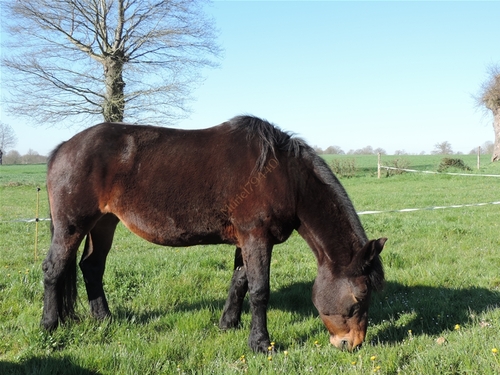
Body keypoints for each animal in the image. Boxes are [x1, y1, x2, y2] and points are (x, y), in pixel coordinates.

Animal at [43, 116, 386, 354]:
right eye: (359, 297)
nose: (352, 344)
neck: (282, 176)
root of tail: (64, 147)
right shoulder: (256, 237)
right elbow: (259, 290)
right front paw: (260, 343)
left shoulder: (245, 241)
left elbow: (239, 283)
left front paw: (228, 324)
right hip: (72, 225)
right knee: (54, 270)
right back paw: (49, 325)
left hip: (104, 223)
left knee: (91, 266)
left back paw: (104, 319)